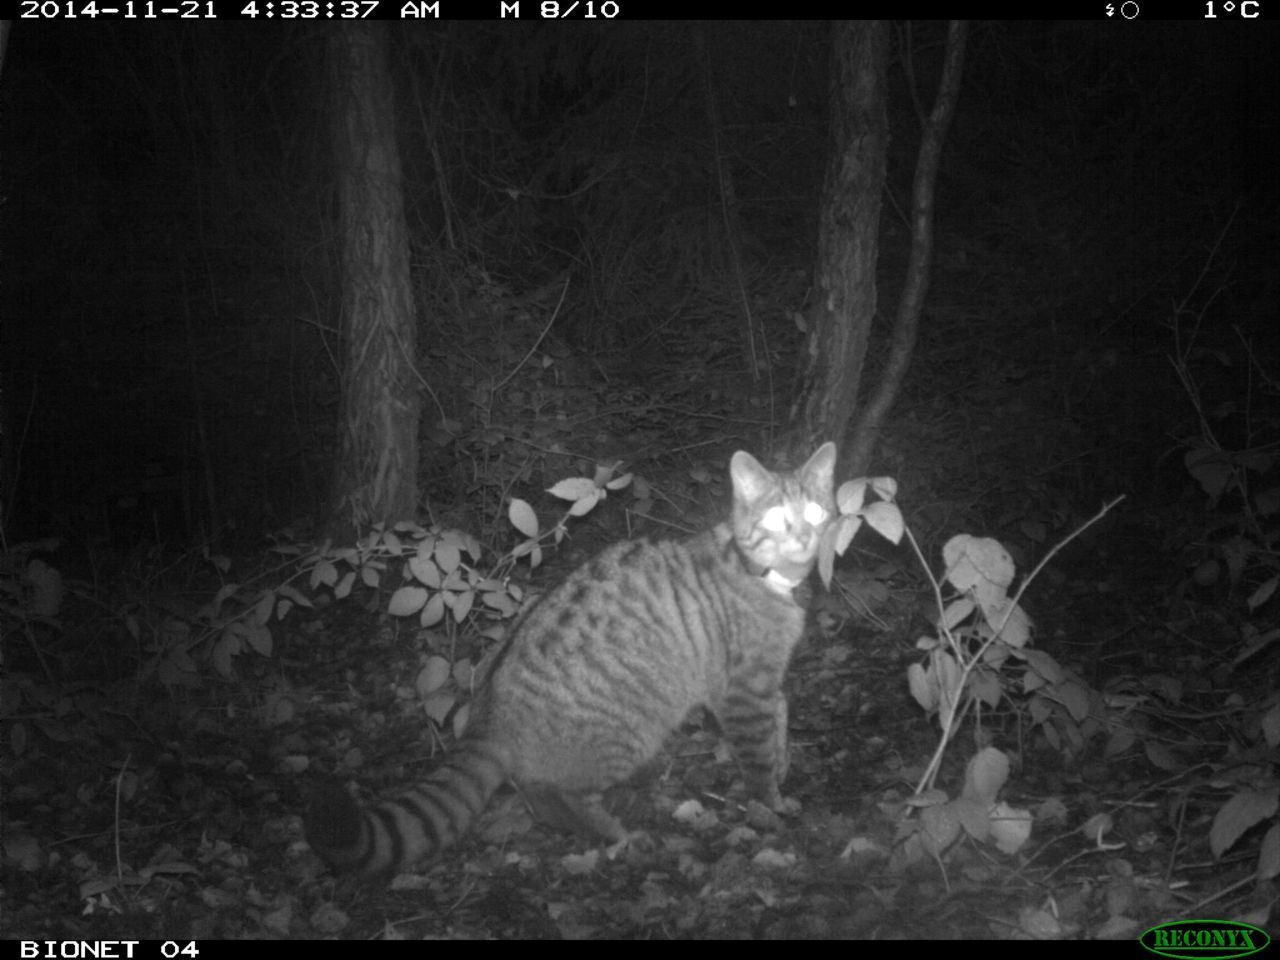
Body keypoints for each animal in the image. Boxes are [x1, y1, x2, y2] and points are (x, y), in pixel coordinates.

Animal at [304, 445, 834, 880]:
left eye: (814, 510)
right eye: (777, 517)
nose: (806, 535)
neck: (767, 575)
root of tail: (488, 707)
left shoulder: (767, 680)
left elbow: (781, 719)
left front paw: (784, 766)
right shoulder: (743, 691)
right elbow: (758, 754)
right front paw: (770, 804)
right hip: (628, 732)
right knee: (557, 793)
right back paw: (611, 830)